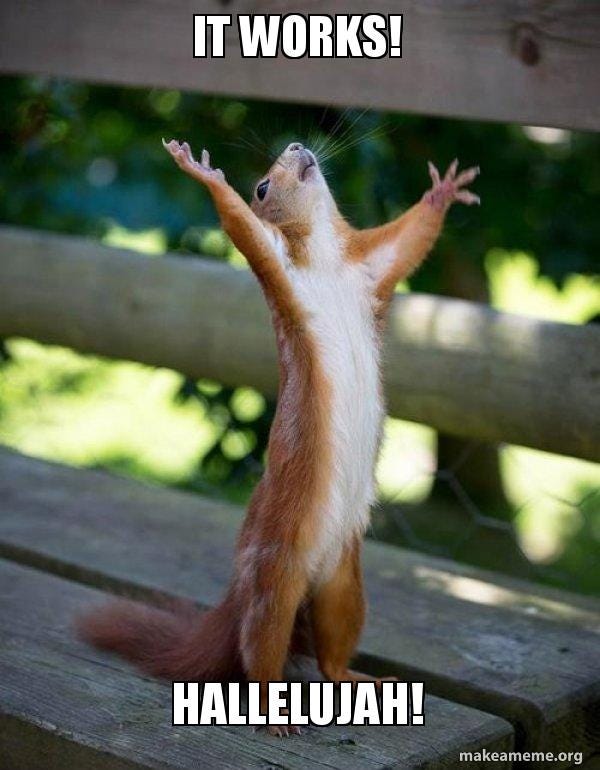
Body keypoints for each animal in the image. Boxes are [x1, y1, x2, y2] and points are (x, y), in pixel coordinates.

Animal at [79, 138, 479, 737]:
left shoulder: (371, 267)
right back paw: (274, 711)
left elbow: (408, 241)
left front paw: (443, 191)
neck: (327, 259)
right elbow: (242, 227)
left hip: (344, 583)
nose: (296, 146)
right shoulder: (278, 266)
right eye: (262, 186)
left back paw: (354, 677)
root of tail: (240, 591)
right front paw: (204, 173)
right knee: (260, 652)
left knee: (332, 650)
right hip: (275, 578)